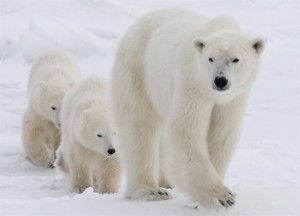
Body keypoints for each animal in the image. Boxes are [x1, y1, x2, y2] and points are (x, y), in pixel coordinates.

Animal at [111, 8, 264, 209]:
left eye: (235, 59)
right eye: (210, 58)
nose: (220, 80)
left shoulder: (233, 98)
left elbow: (222, 134)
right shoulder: (192, 82)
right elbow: (185, 129)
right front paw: (222, 197)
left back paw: (166, 182)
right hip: (139, 70)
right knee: (140, 126)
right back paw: (150, 190)